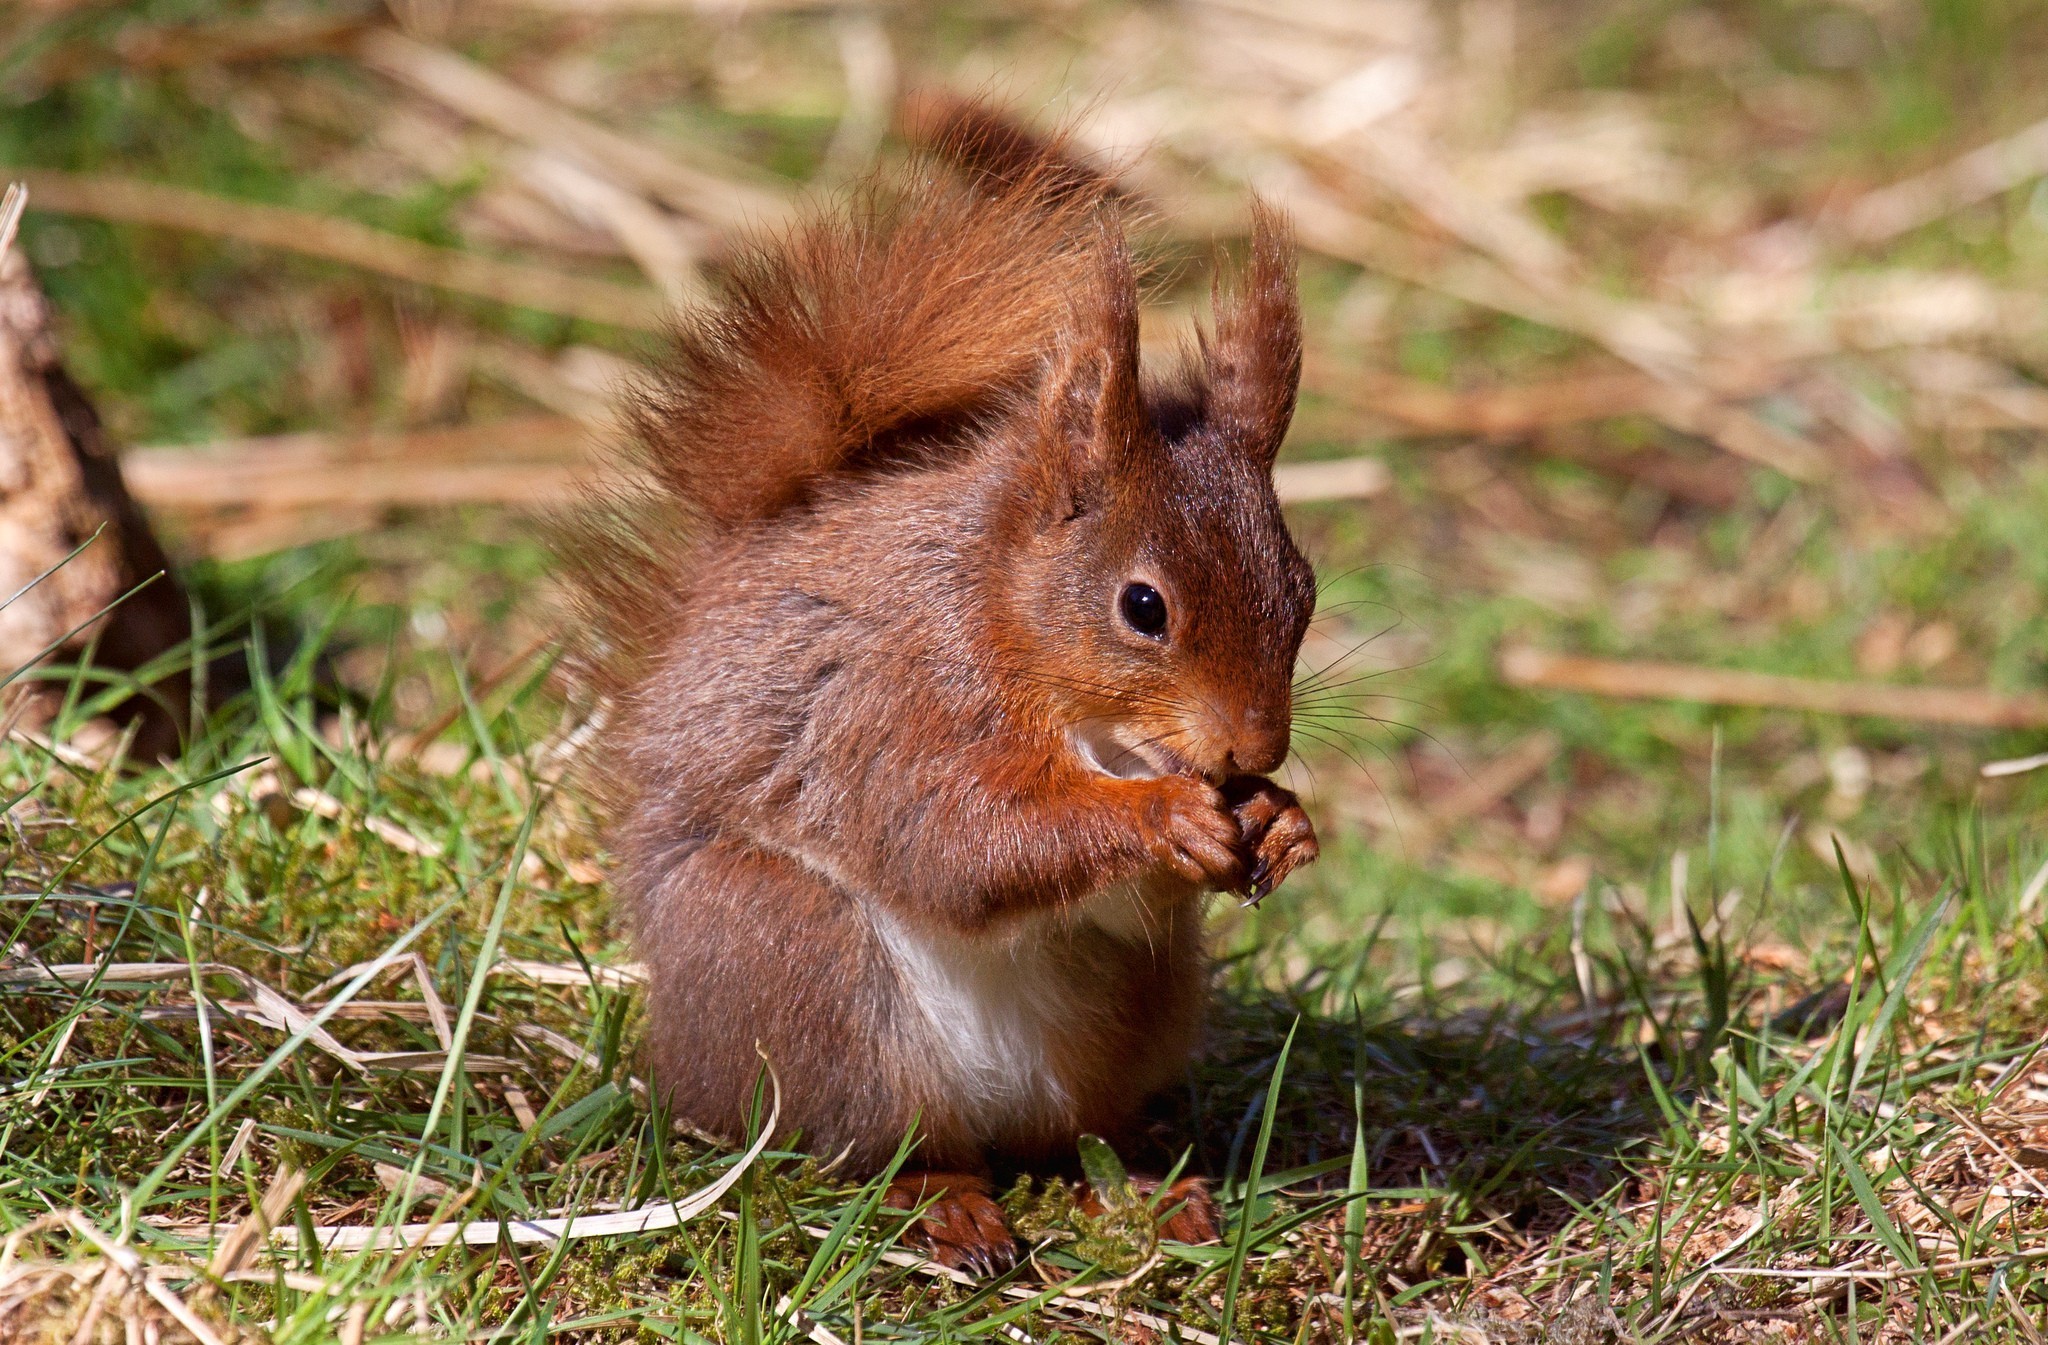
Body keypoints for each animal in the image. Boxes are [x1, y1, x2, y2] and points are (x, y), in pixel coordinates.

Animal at [569, 102, 1318, 1269]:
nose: (1255, 749)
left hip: (1127, 1011)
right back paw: (948, 1205)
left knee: (1078, 1136)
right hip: (802, 970)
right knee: (877, 1145)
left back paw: (1150, 1189)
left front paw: (1280, 822)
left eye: (1304, 589)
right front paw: (1161, 815)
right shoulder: (892, 704)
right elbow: (954, 839)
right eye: (1142, 606)